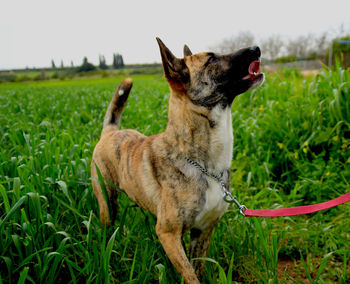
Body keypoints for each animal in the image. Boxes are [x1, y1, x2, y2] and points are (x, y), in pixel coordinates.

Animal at [91, 37, 264, 282]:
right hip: (106, 201)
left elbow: (196, 268)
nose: (256, 49)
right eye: (211, 59)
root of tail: (110, 132)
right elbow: (190, 276)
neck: (204, 166)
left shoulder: (203, 232)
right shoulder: (168, 233)